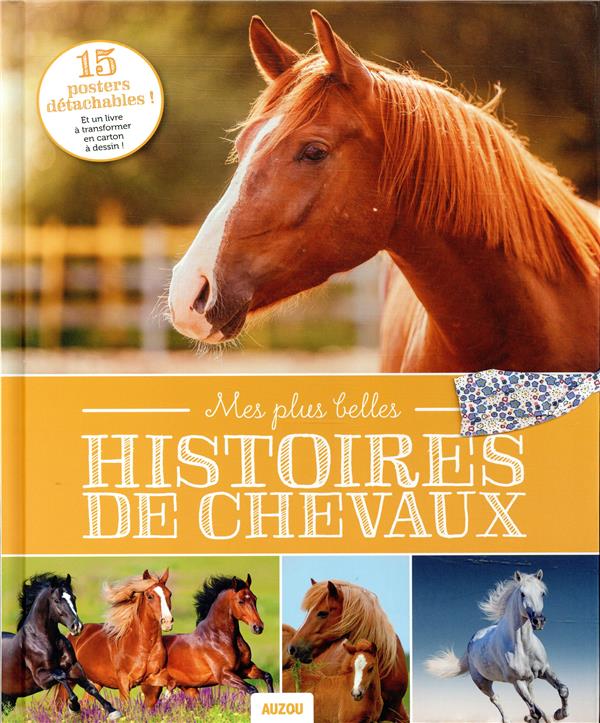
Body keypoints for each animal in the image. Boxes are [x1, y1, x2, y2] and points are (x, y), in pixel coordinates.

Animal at [1, 573, 121, 719]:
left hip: (9, 698)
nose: (77, 626)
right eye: (56, 600)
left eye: (73, 597)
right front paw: (74, 708)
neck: (44, 640)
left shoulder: (74, 667)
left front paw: (112, 711)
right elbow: (61, 676)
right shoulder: (40, 678)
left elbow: (90, 687)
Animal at [54, 569, 173, 706]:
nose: (167, 621)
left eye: (169, 594)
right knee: (59, 704)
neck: (144, 646)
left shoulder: (155, 679)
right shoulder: (124, 683)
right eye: (150, 596)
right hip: (70, 680)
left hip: (96, 682)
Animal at [141, 574, 273, 706]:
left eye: (255, 599)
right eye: (240, 601)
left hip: (189, 689)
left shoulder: (245, 669)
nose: (258, 627)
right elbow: (252, 689)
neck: (219, 638)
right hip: (153, 688)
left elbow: (268, 676)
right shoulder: (224, 675)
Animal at [426, 570, 569, 723]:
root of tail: (472, 641)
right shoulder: (517, 681)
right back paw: (509, 719)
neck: (524, 648)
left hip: (529, 680)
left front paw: (560, 714)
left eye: (542, 593)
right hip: (482, 683)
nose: (538, 621)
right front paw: (545, 715)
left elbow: (562, 690)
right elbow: (535, 709)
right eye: (522, 594)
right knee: (496, 699)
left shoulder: (544, 670)